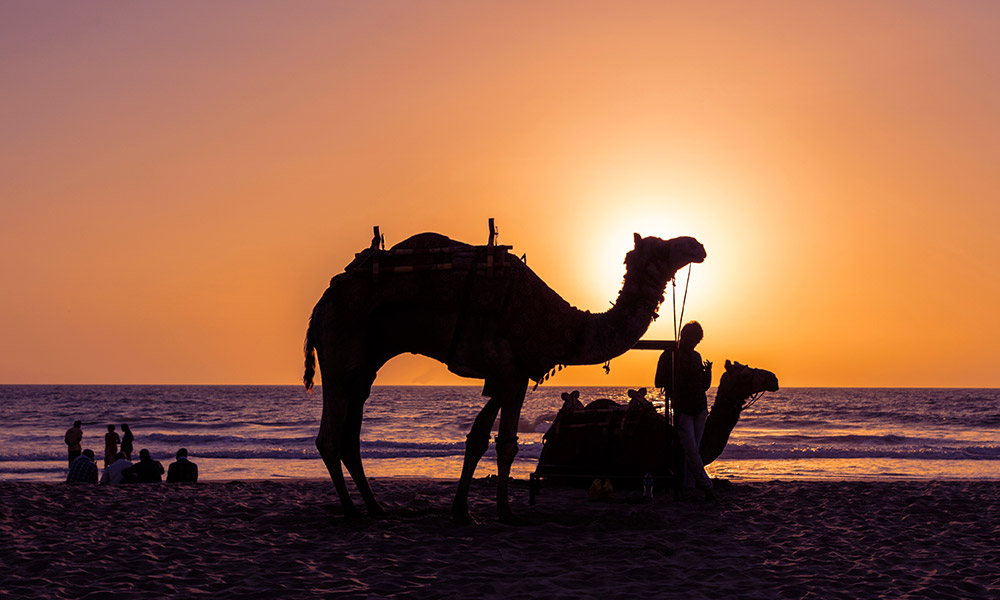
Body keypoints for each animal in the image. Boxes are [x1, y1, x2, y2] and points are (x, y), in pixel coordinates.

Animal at [302, 229, 704, 520]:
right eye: (661, 248)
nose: (697, 245)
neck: (570, 328)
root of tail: (320, 304)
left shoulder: (508, 376)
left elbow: (483, 438)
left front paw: (467, 510)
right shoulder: (509, 370)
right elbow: (501, 442)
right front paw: (503, 511)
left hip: (365, 364)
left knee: (351, 431)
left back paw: (375, 507)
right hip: (339, 347)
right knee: (329, 436)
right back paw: (352, 511)